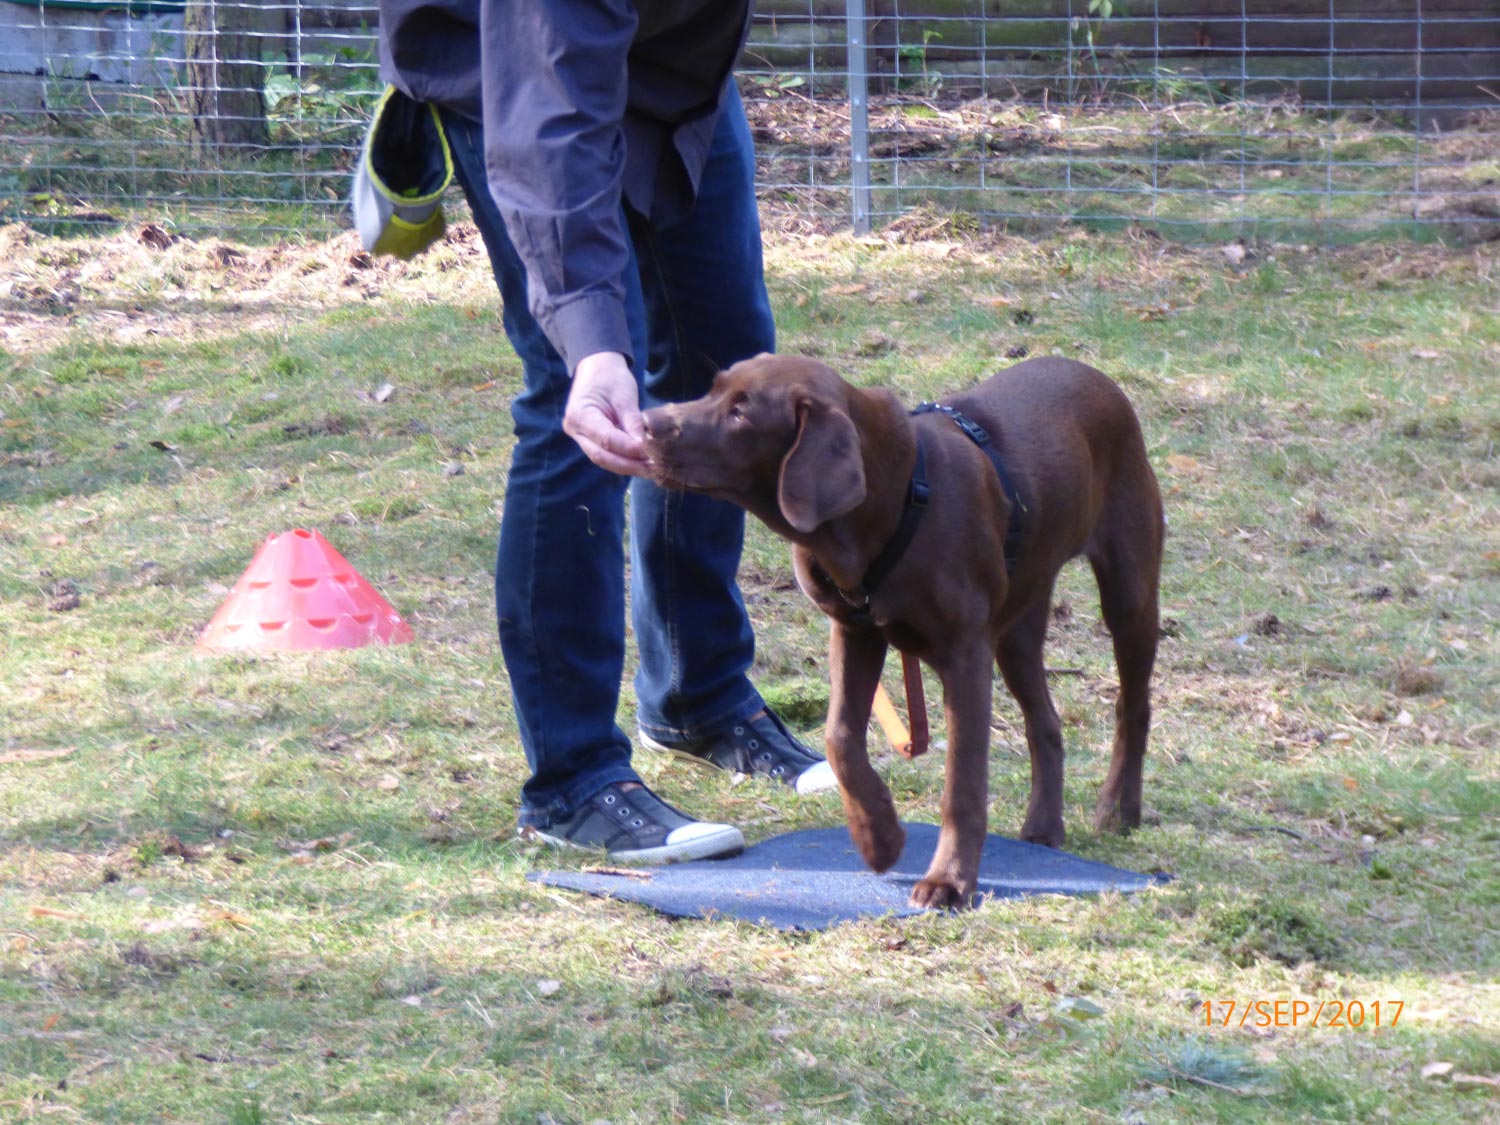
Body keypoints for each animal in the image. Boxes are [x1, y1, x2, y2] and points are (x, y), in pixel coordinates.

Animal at [639, 357, 1164, 912]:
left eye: (741, 412)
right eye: (713, 390)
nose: (645, 423)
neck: (891, 502)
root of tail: (1093, 374)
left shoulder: (965, 654)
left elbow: (962, 783)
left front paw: (949, 881)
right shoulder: (855, 632)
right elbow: (840, 738)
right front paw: (879, 838)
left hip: (1127, 594)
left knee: (1133, 706)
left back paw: (1118, 810)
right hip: (1017, 629)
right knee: (1045, 721)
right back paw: (1044, 828)